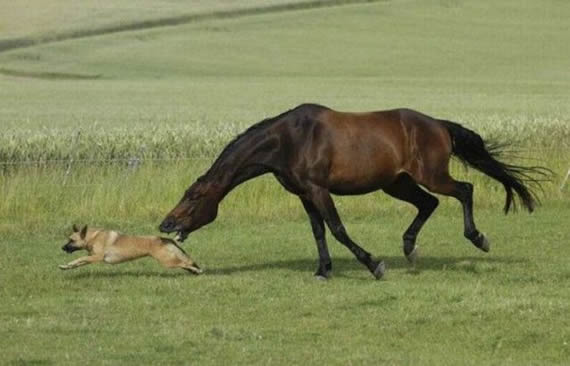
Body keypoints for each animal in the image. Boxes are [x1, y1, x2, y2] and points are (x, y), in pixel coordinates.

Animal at [59, 223, 202, 274]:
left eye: (71, 240)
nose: (62, 248)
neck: (93, 237)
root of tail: (165, 239)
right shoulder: (91, 257)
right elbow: (78, 263)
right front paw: (66, 266)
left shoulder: (96, 257)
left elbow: (80, 259)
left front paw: (68, 264)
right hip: (170, 259)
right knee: (186, 263)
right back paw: (194, 270)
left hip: (167, 261)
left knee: (185, 263)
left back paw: (197, 270)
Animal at [158, 104, 544, 278]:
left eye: (193, 197)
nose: (165, 224)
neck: (289, 140)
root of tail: (439, 125)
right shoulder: (304, 195)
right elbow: (318, 231)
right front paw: (323, 270)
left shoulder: (319, 190)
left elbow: (338, 229)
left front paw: (374, 265)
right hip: (397, 183)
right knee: (429, 203)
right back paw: (409, 249)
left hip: (431, 175)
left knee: (464, 190)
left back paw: (478, 238)